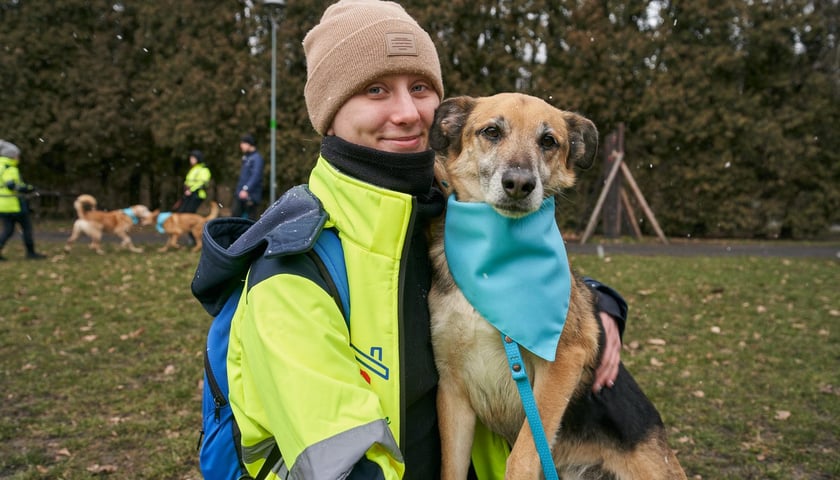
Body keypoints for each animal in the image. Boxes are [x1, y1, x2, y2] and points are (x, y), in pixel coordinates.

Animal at [430, 92, 684, 478]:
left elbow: (523, 456)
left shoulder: (563, 361)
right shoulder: (452, 389)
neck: (494, 265)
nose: (520, 184)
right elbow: (451, 467)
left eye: (548, 141)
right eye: (491, 132)